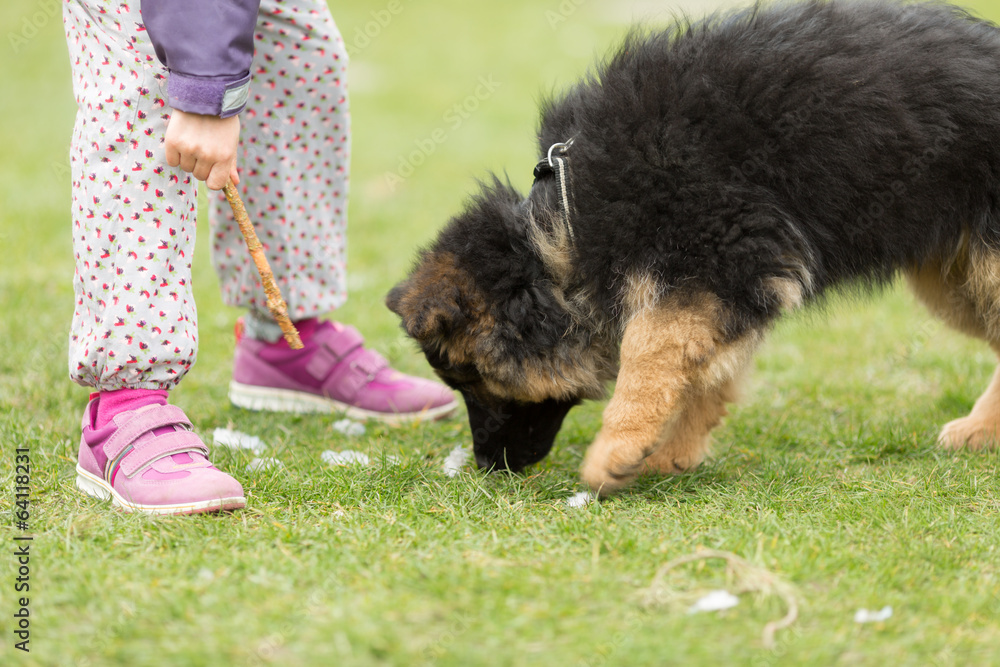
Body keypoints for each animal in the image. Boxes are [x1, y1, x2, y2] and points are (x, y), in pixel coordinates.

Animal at [386, 1, 1000, 496]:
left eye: (473, 379)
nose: (488, 466)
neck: (564, 222)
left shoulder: (719, 257)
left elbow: (647, 349)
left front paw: (616, 450)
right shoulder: (732, 280)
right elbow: (704, 368)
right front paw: (668, 452)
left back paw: (979, 428)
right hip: (953, 279)